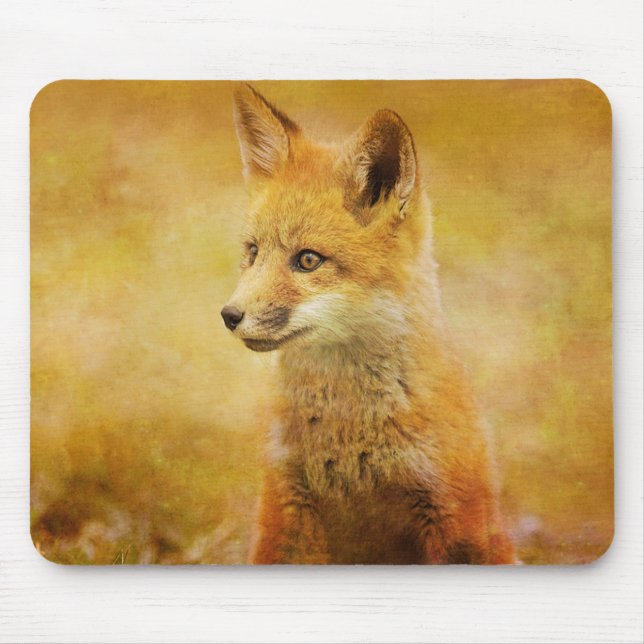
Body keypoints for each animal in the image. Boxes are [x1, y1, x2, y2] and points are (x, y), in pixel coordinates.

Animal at [221, 83, 515, 564]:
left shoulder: (451, 512)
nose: (229, 316)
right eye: (252, 252)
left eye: (308, 260)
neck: (347, 436)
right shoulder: (283, 504)